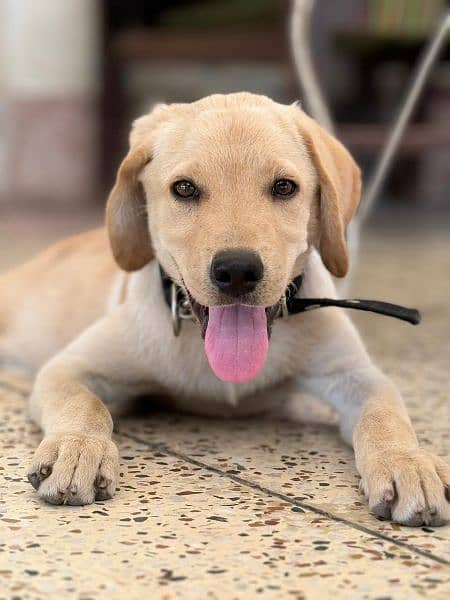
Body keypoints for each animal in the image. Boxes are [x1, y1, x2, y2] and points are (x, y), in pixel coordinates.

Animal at [0, 94, 448, 524]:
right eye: (184, 189)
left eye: (284, 187)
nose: (236, 270)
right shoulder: (68, 366)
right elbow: (84, 404)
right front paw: (77, 449)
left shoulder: (355, 374)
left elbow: (385, 414)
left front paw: (408, 463)